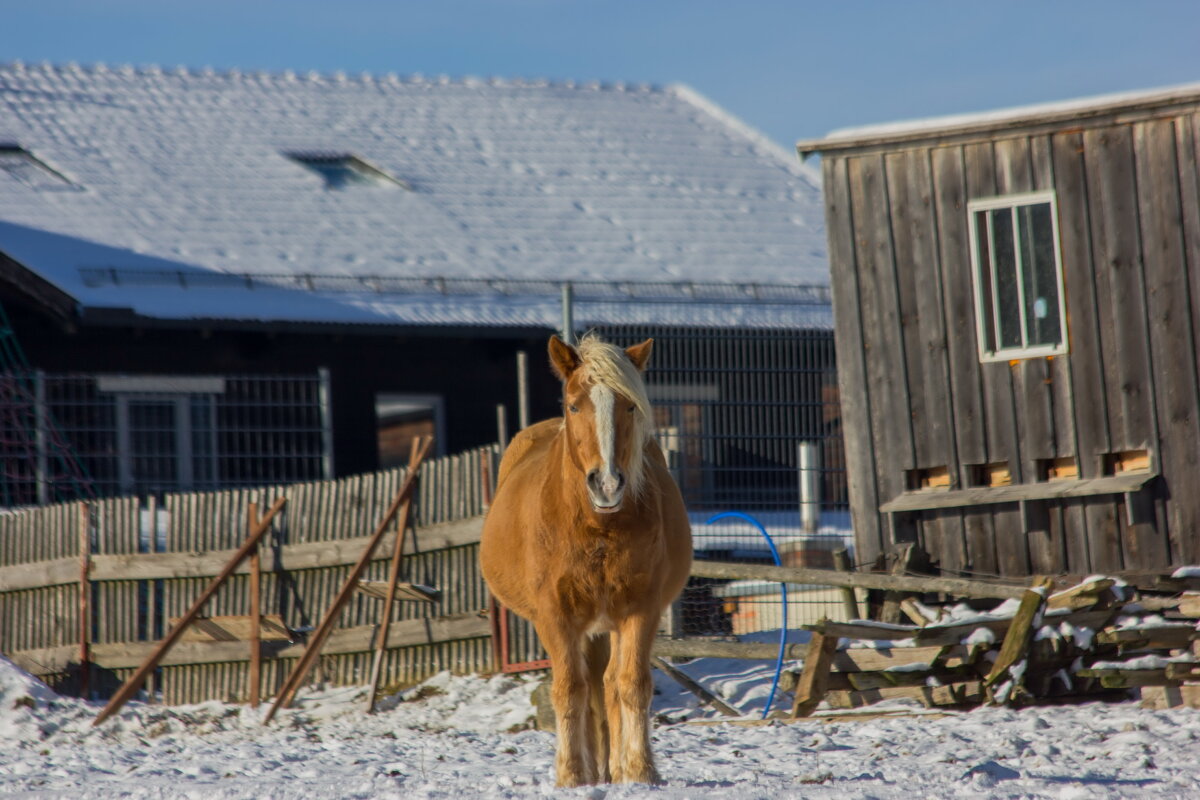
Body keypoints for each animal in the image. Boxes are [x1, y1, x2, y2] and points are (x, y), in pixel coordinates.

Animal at [475, 331, 686, 786]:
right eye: (574, 405)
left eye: (629, 405)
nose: (606, 484)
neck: (597, 528)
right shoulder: (556, 616)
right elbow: (569, 689)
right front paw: (571, 775)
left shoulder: (641, 609)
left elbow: (631, 684)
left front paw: (640, 771)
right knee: (588, 686)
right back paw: (592, 770)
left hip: (605, 626)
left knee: (606, 685)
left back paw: (612, 768)